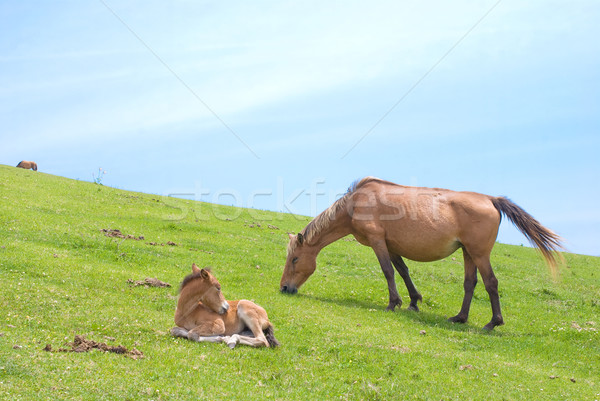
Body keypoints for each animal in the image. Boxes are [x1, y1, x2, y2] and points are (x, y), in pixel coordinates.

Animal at [280, 177, 564, 330]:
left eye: (295, 259)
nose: (284, 288)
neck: (355, 204)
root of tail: (491, 199)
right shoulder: (391, 245)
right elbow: (403, 271)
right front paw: (413, 302)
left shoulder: (378, 241)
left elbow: (388, 272)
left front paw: (393, 303)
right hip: (468, 253)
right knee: (470, 283)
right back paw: (460, 317)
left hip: (479, 254)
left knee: (491, 283)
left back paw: (493, 323)